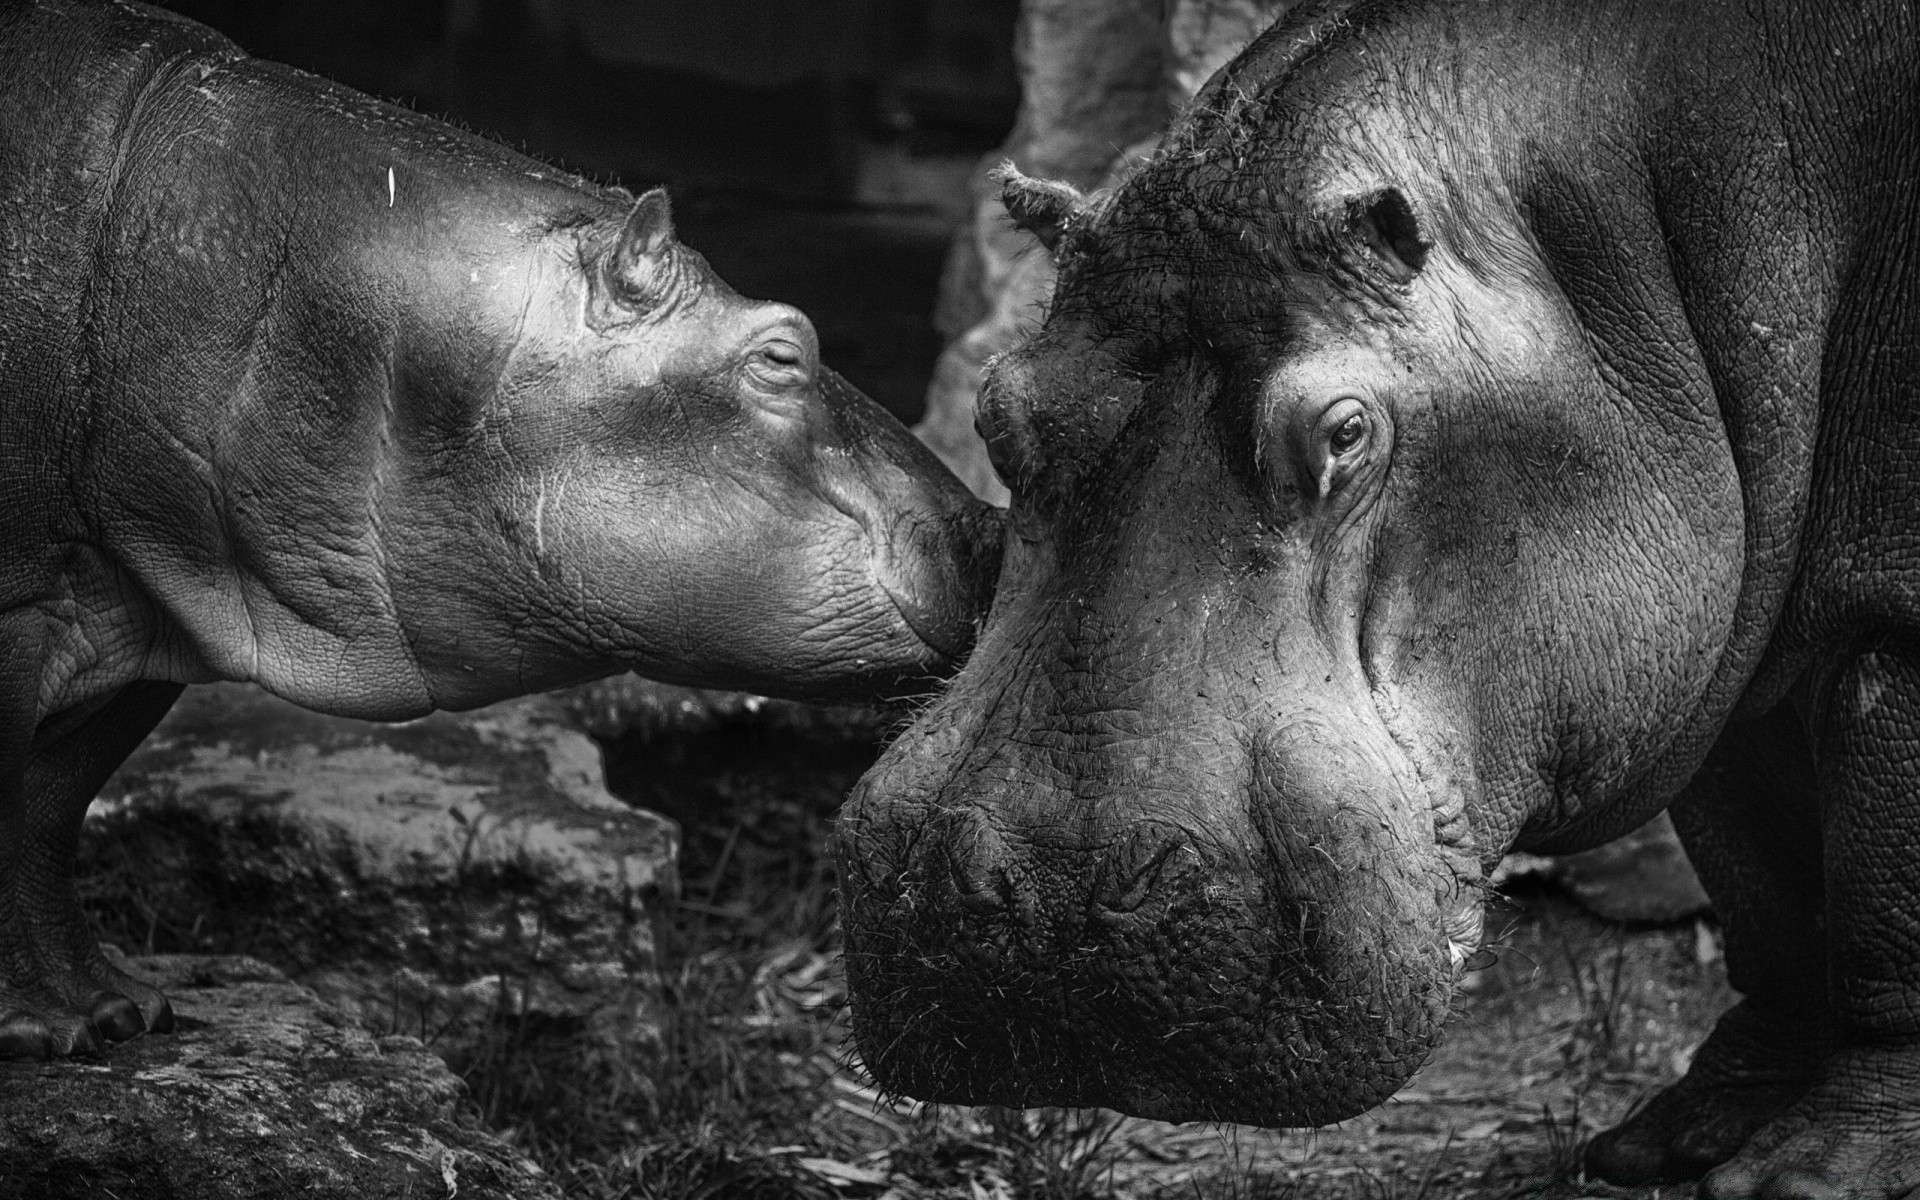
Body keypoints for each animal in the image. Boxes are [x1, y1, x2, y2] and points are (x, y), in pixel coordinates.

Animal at [3, 2, 1006, 1059]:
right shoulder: (36, 601)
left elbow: (50, 806)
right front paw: (52, 1028)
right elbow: (14, 799)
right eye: (783, 352)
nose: (992, 519)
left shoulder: (152, 599)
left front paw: (120, 1009)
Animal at [837, 0, 1920, 1190]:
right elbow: (1771, 902)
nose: (1033, 899)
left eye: (1346, 431)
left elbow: (1883, 909)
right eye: (995, 411)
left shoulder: (1893, 631)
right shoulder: (1720, 676)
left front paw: (1809, 1170)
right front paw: (1671, 1139)